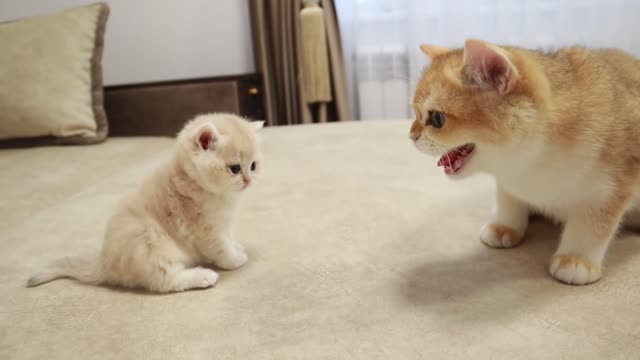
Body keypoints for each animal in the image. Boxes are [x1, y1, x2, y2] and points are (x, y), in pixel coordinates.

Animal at [27, 112, 262, 292]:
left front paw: (237, 247)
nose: (249, 180)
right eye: (234, 168)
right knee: (166, 281)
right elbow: (222, 249)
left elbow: (229, 238)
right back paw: (203, 276)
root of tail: (103, 262)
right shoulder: (206, 230)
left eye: (253, 166)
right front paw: (235, 260)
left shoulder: (224, 223)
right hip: (150, 244)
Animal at [408, 39, 640, 286]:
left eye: (437, 118)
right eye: (415, 112)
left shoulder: (611, 189)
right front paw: (504, 227)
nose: (411, 135)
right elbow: (509, 200)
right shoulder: (509, 181)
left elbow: (592, 226)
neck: (532, 161)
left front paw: (576, 260)